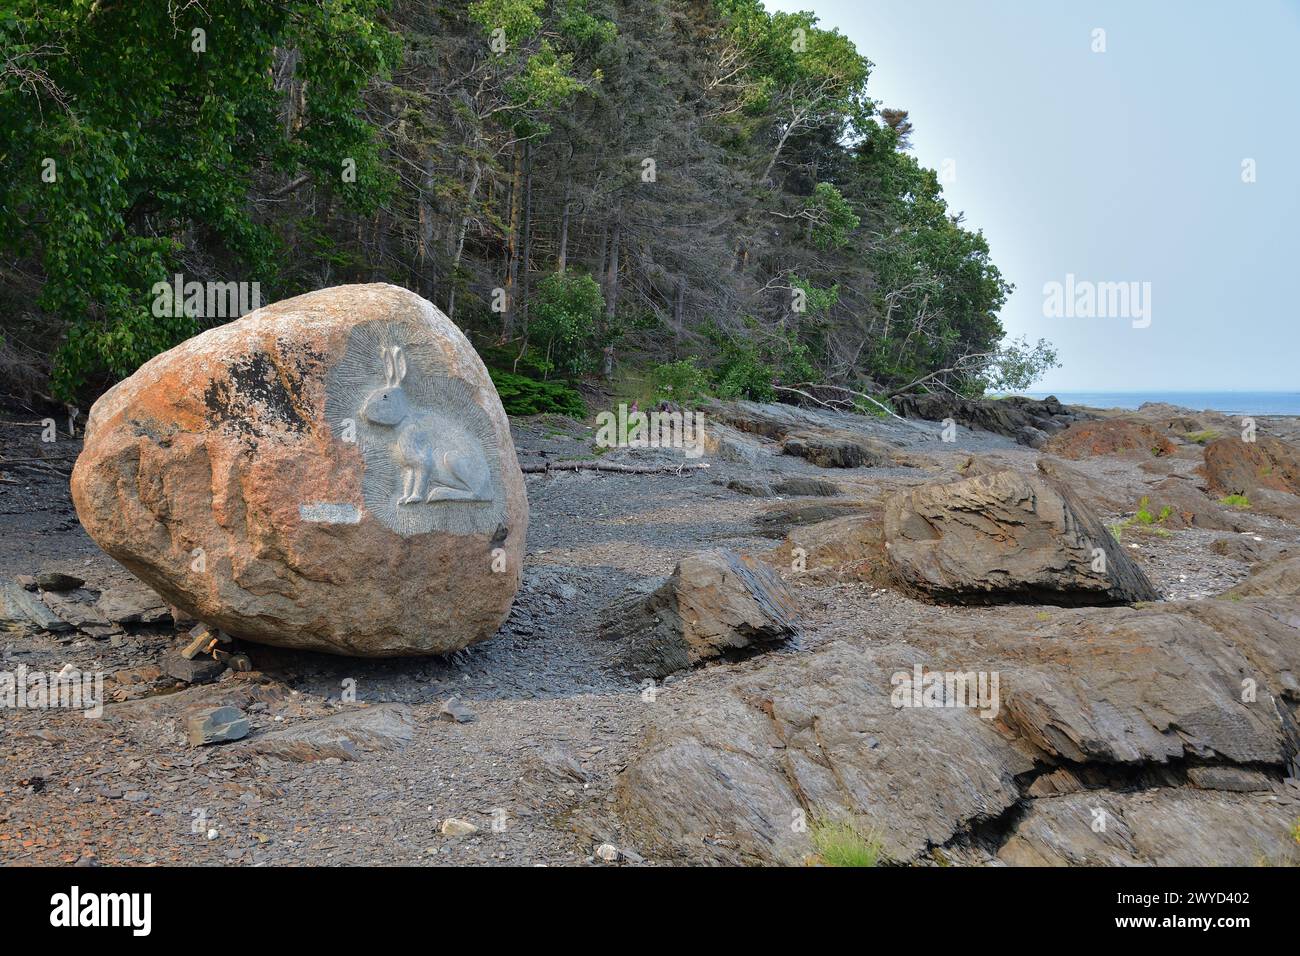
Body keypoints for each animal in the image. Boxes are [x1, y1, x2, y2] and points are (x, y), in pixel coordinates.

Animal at [359, 345, 492, 505]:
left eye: (385, 396)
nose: (364, 411)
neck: (405, 418)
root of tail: (488, 488)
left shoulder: (418, 452)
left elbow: (421, 476)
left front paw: (414, 499)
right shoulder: (409, 467)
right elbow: (409, 481)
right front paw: (403, 499)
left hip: (453, 459)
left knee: (476, 494)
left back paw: (438, 494)